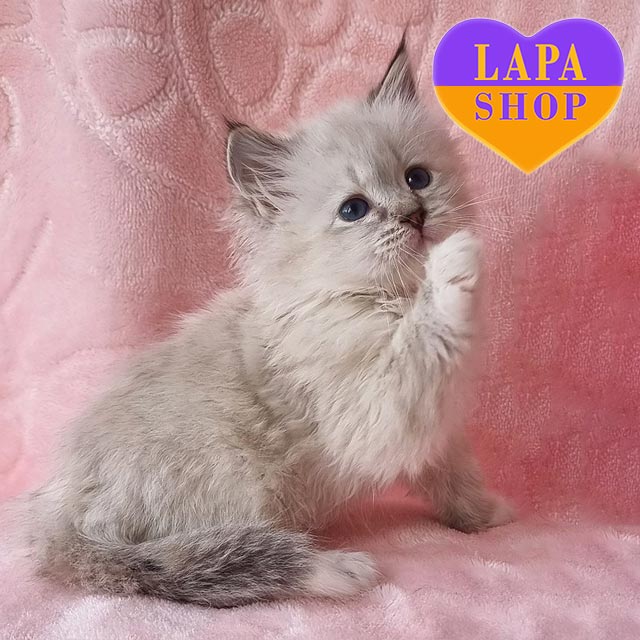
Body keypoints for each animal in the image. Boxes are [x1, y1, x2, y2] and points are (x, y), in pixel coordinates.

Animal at [29, 40, 513, 607]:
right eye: (355, 210)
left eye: (417, 178)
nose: (413, 215)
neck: (387, 300)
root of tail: (60, 519)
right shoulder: (383, 411)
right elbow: (426, 336)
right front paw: (451, 267)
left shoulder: (439, 427)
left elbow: (456, 478)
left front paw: (486, 516)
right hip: (233, 477)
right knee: (224, 555)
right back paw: (330, 566)